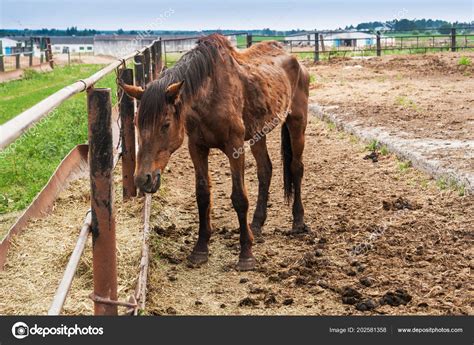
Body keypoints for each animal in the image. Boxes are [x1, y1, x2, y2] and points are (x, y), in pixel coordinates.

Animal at [120, 33, 310, 270]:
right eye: (136, 123)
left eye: (165, 124)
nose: (142, 179)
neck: (210, 94)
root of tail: (295, 60)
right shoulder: (197, 148)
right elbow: (202, 195)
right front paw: (200, 249)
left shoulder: (235, 147)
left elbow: (239, 198)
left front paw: (246, 254)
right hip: (259, 132)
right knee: (265, 170)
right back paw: (256, 224)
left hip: (297, 122)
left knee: (296, 168)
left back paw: (298, 221)